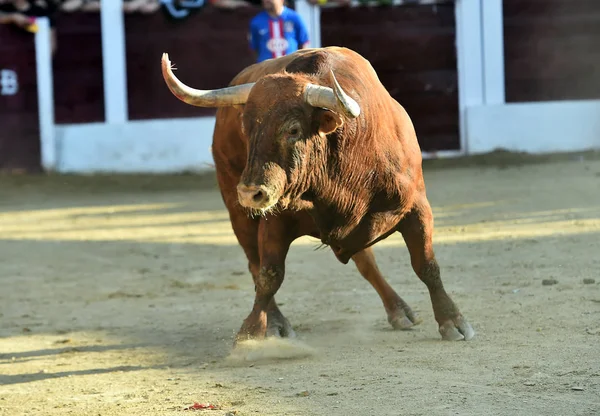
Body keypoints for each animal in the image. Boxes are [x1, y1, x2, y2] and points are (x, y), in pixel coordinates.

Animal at [162, 46, 476, 344]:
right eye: (246, 128)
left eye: (293, 129)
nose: (250, 193)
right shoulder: (275, 219)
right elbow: (269, 275)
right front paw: (251, 332)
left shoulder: (416, 208)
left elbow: (426, 265)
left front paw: (453, 321)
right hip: (237, 212)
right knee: (254, 263)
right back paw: (275, 322)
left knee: (366, 262)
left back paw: (398, 310)